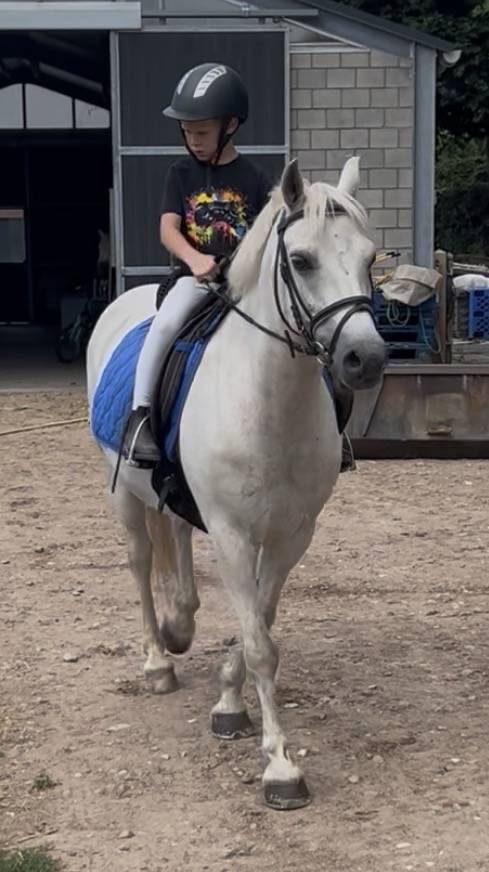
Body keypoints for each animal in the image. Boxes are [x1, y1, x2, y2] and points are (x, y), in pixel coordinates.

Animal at [87, 157, 386, 810]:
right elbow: (259, 643)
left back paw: (180, 626)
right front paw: (280, 766)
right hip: (122, 495)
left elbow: (262, 625)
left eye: (370, 257)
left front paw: (228, 699)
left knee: (173, 539)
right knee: (140, 563)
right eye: (301, 259)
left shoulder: (292, 535)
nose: (366, 359)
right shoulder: (231, 534)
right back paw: (158, 661)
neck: (269, 404)